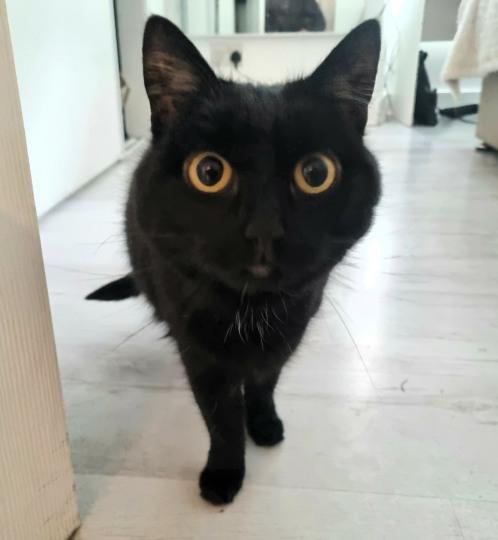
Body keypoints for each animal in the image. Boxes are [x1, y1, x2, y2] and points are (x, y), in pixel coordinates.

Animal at [87, 15, 381, 505]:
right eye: (209, 172)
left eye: (316, 173)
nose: (263, 231)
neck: (251, 310)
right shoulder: (200, 351)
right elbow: (220, 415)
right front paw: (224, 474)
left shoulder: (293, 326)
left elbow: (265, 380)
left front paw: (263, 422)